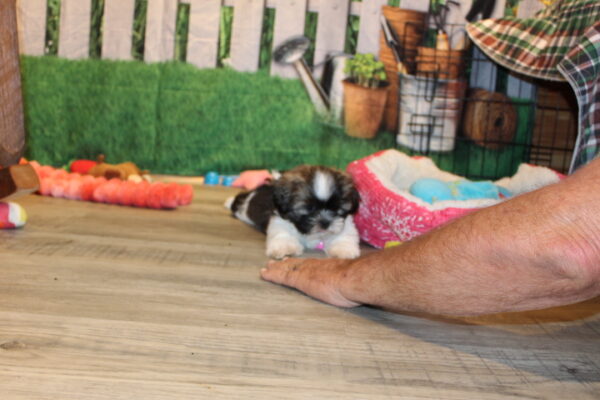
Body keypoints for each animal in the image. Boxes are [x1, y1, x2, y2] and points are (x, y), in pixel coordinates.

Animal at [225, 165, 361, 259]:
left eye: (337, 208)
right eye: (309, 208)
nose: (325, 222)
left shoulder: (345, 223)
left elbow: (345, 234)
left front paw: (344, 248)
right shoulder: (279, 220)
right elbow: (283, 233)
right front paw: (286, 247)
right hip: (244, 210)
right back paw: (229, 202)